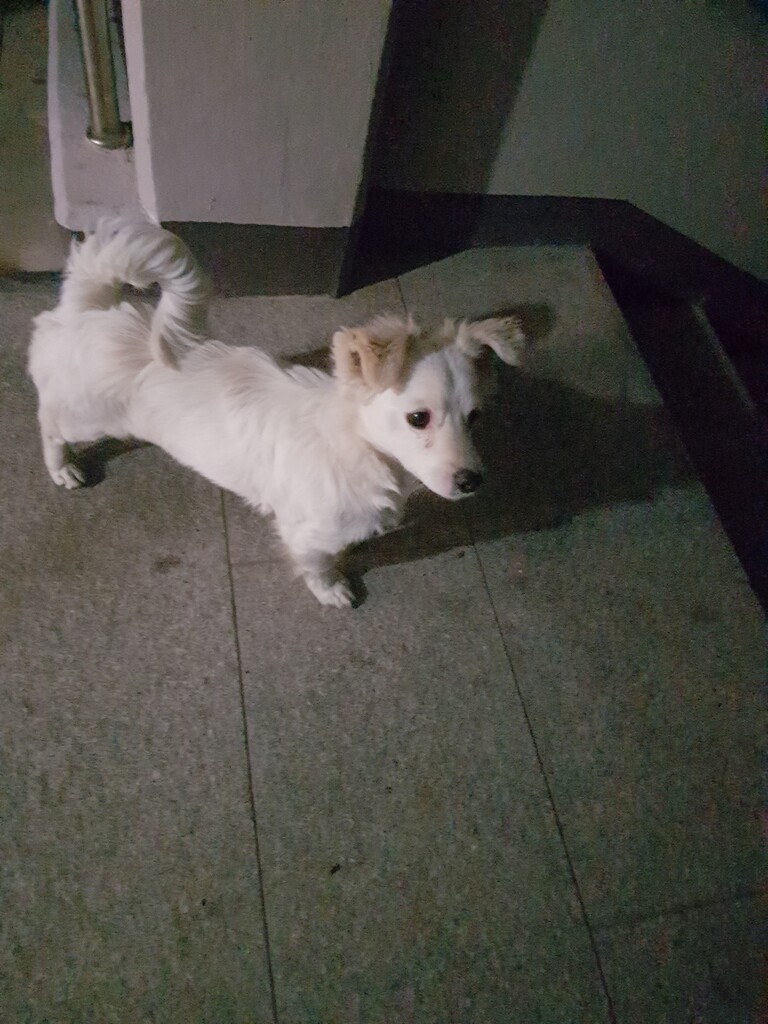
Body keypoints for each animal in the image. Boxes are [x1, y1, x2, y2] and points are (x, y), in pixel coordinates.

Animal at [28, 221, 525, 606]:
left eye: (475, 417)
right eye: (418, 418)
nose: (472, 482)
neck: (357, 448)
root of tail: (86, 310)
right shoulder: (304, 532)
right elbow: (317, 564)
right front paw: (331, 590)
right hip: (88, 416)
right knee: (48, 422)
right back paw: (62, 468)